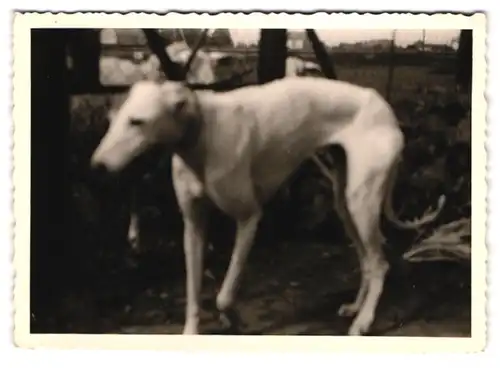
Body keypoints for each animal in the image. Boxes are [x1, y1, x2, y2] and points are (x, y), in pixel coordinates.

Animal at [91, 77, 446, 336]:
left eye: (137, 122)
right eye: (113, 120)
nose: (96, 167)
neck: (203, 132)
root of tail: (384, 107)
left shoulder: (249, 217)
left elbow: (224, 295)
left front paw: (232, 318)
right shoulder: (193, 226)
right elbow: (193, 290)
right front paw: (193, 332)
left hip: (362, 202)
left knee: (380, 262)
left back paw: (364, 322)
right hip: (345, 203)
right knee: (367, 260)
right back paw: (356, 308)